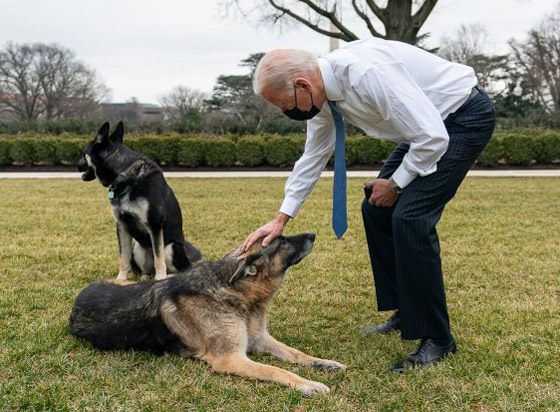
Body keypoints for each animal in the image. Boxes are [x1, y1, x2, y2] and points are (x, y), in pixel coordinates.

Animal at [70, 233, 346, 394]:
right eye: (283, 241)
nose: (313, 235)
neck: (234, 291)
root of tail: (78, 299)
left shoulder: (260, 339)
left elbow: (296, 354)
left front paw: (324, 363)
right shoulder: (230, 358)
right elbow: (276, 370)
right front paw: (309, 384)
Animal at [76, 120, 201, 280]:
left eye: (84, 153)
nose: (77, 165)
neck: (125, 175)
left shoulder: (155, 224)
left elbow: (159, 257)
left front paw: (160, 279)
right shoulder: (122, 225)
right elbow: (123, 257)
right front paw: (121, 279)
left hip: (171, 247)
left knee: (177, 268)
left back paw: (167, 276)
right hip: (138, 246)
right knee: (147, 269)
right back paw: (145, 277)